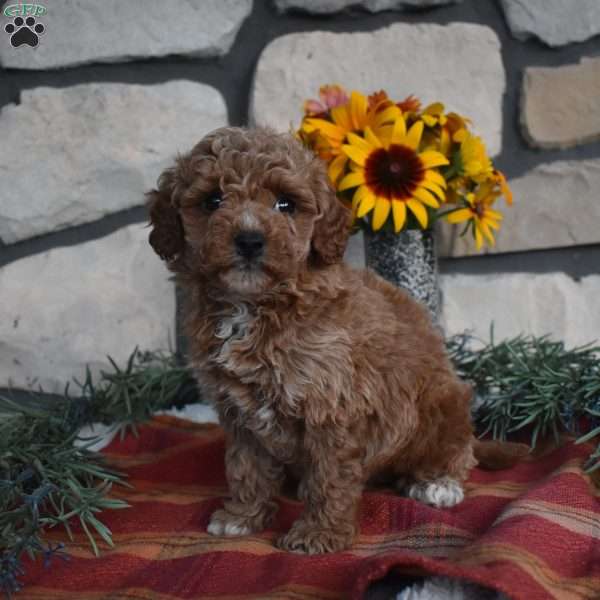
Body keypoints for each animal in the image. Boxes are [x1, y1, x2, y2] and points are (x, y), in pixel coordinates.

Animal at [146, 129, 524, 556]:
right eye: (212, 200)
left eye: (285, 204)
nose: (249, 240)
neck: (257, 307)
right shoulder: (239, 413)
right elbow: (246, 468)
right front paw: (242, 517)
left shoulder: (331, 407)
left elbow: (329, 477)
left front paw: (319, 534)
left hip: (443, 405)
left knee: (456, 453)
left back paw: (437, 484)